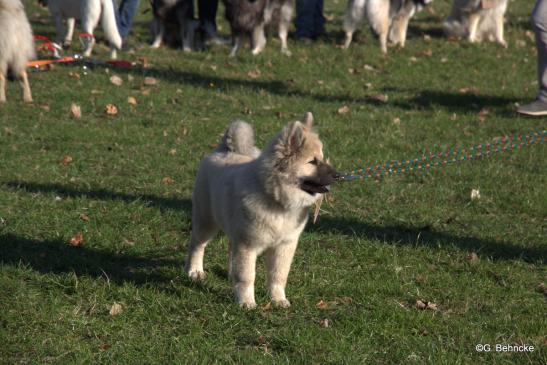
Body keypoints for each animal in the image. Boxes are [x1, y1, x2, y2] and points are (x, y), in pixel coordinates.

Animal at [186, 113, 340, 308]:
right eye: (312, 162)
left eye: (321, 158)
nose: (338, 175)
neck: (276, 199)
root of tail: (223, 151)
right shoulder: (248, 245)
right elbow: (247, 276)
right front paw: (246, 302)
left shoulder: (284, 246)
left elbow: (278, 276)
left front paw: (278, 299)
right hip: (206, 222)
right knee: (197, 245)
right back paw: (194, 271)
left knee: (230, 247)